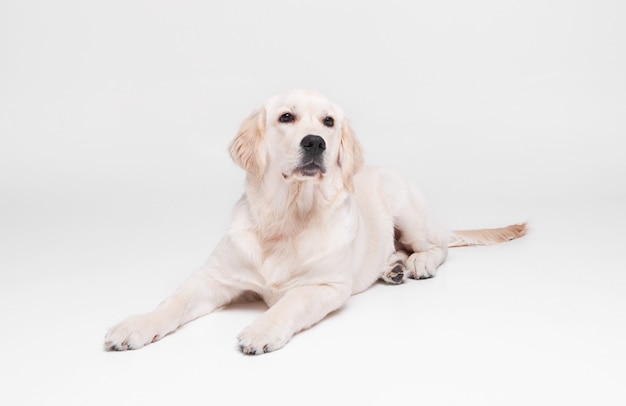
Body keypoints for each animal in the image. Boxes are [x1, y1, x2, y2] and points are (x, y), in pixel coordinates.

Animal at [105, 87, 524, 354]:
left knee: (437, 246)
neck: (287, 219)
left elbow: (290, 302)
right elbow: (173, 301)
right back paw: (392, 267)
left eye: (329, 122)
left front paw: (262, 328)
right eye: (286, 117)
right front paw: (136, 325)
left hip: (408, 208)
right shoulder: (214, 277)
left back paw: (417, 263)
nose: (315, 142)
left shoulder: (325, 285)